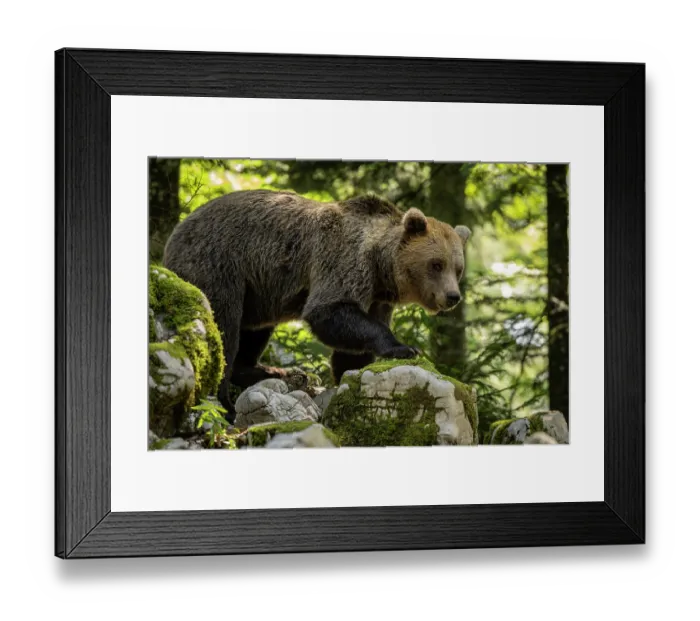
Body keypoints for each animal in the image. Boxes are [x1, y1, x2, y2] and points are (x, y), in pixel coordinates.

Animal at [163, 189, 471, 414]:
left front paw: (351, 372)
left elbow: (353, 344)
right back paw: (225, 401)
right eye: (436, 264)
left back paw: (270, 371)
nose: (453, 297)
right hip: (218, 263)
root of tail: (176, 231)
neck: (380, 267)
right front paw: (404, 347)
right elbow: (328, 311)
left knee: (254, 330)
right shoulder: (342, 261)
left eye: (458, 268)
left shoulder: (376, 296)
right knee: (223, 324)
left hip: (258, 290)